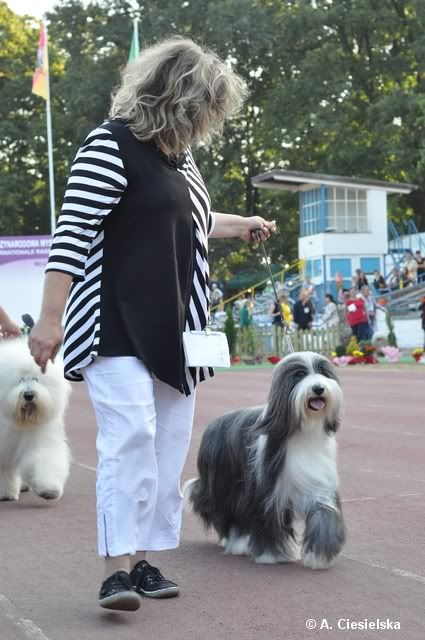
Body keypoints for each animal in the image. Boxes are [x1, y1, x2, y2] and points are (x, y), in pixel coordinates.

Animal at [0, 338, 71, 502]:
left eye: (36, 378)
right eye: (20, 380)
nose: (29, 395)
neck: (21, 422)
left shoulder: (39, 439)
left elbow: (43, 457)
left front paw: (49, 489)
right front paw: (6, 494)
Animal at [184, 351, 346, 568]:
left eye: (322, 371)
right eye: (300, 374)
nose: (318, 388)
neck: (302, 432)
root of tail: (215, 422)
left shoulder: (319, 484)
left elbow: (324, 514)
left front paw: (319, 557)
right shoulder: (268, 491)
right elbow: (267, 519)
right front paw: (271, 555)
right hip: (225, 485)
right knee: (228, 512)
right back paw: (237, 543)